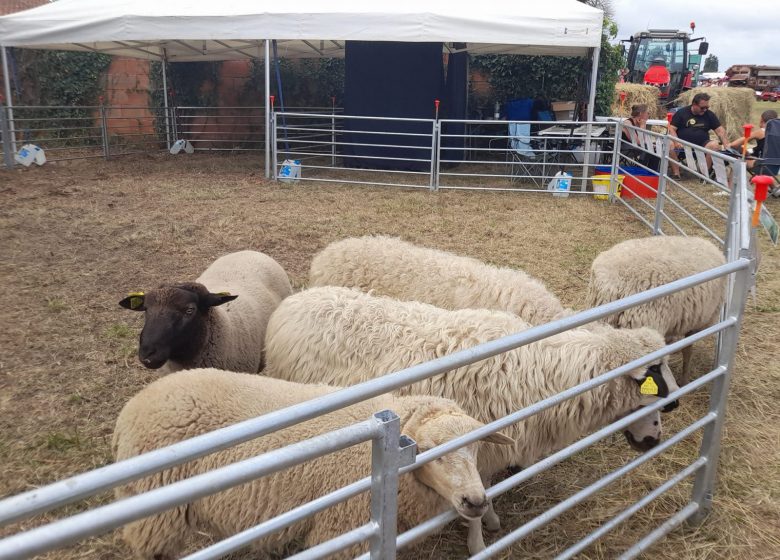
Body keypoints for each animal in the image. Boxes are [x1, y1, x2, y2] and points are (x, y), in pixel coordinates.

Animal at [109, 370, 512, 556]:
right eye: (428, 449)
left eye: (477, 448)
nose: (476, 501)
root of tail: (135, 405)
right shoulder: (342, 529)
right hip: (157, 517)